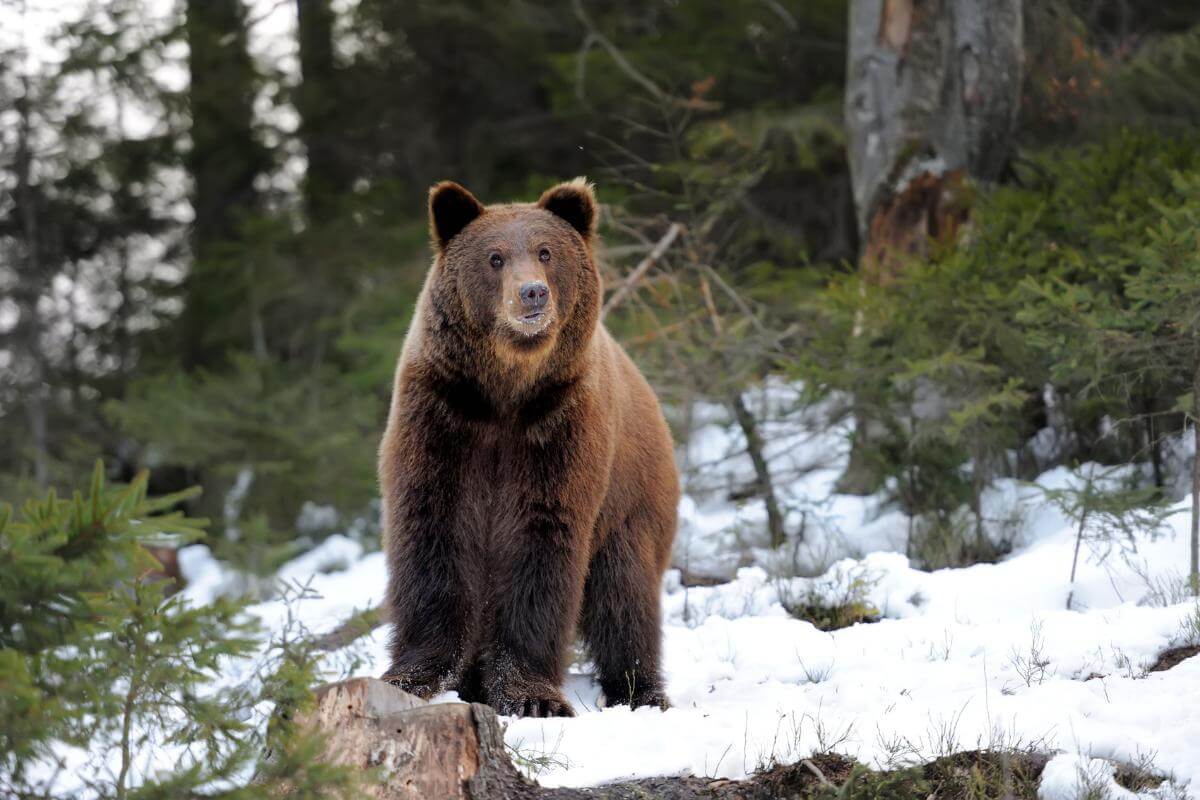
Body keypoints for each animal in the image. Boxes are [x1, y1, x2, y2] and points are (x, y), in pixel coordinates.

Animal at [376, 178, 676, 714]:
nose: (532, 292)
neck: (505, 392)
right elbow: (431, 529)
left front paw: (531, 696)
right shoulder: (442, 417)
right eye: (494, 257)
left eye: (545, 251)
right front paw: (413, 676)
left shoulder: (559, 427)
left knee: (624, 597)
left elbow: (542, 542)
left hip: (631, 503)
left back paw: (641, 691)